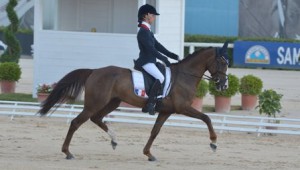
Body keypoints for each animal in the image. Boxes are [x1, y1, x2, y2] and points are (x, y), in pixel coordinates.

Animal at [38, 41, 229, 161]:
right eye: (222, 62)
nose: (224, 85)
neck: (185, 75)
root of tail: (94, 71)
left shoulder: (166, 111)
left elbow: (155, 132)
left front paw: (148, 154)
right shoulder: (183, 108)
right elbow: (206, 118)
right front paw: (213, 142)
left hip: (112, 102)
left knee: (96, 118)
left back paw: (114, 140)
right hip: (95, 103)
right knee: (76, 122)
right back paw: (67, 152)